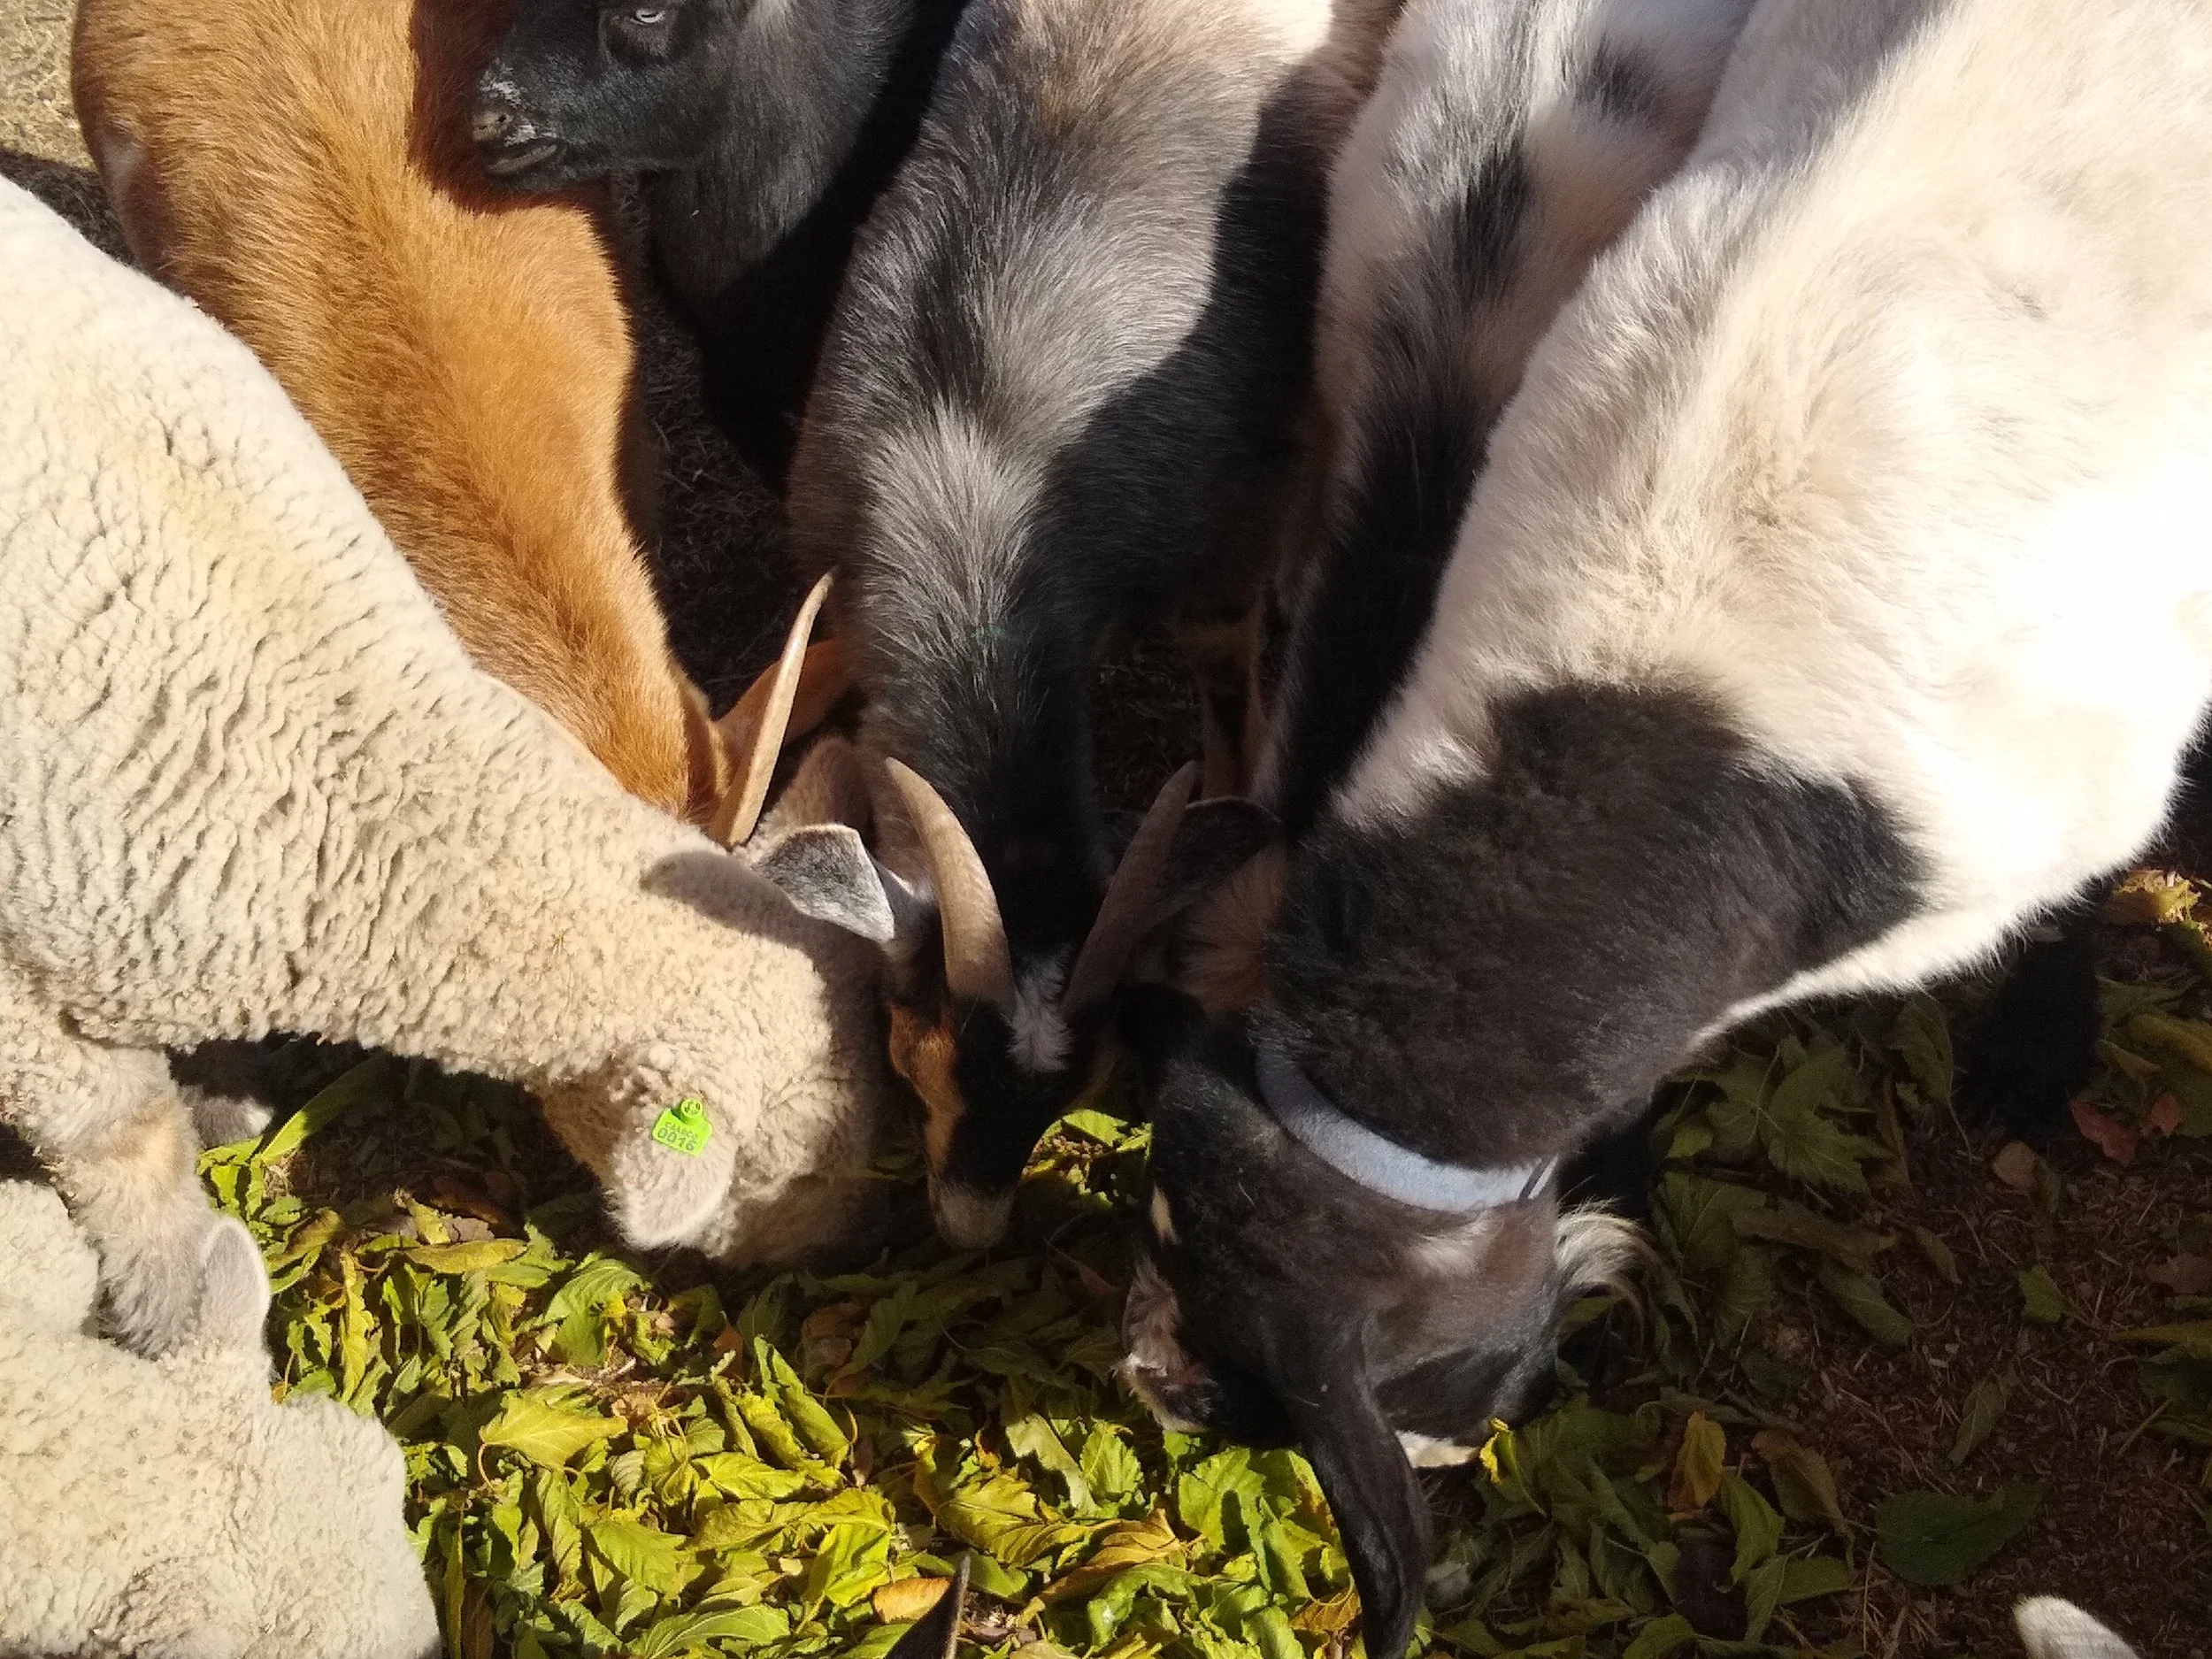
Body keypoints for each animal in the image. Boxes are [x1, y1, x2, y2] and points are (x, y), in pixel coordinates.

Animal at [768, 0, 1401, 1249]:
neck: (973, 447)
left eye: (1084, 1092)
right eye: (915, 1059)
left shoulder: (1218, 559)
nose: (970, 1227)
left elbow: (1227, 702)